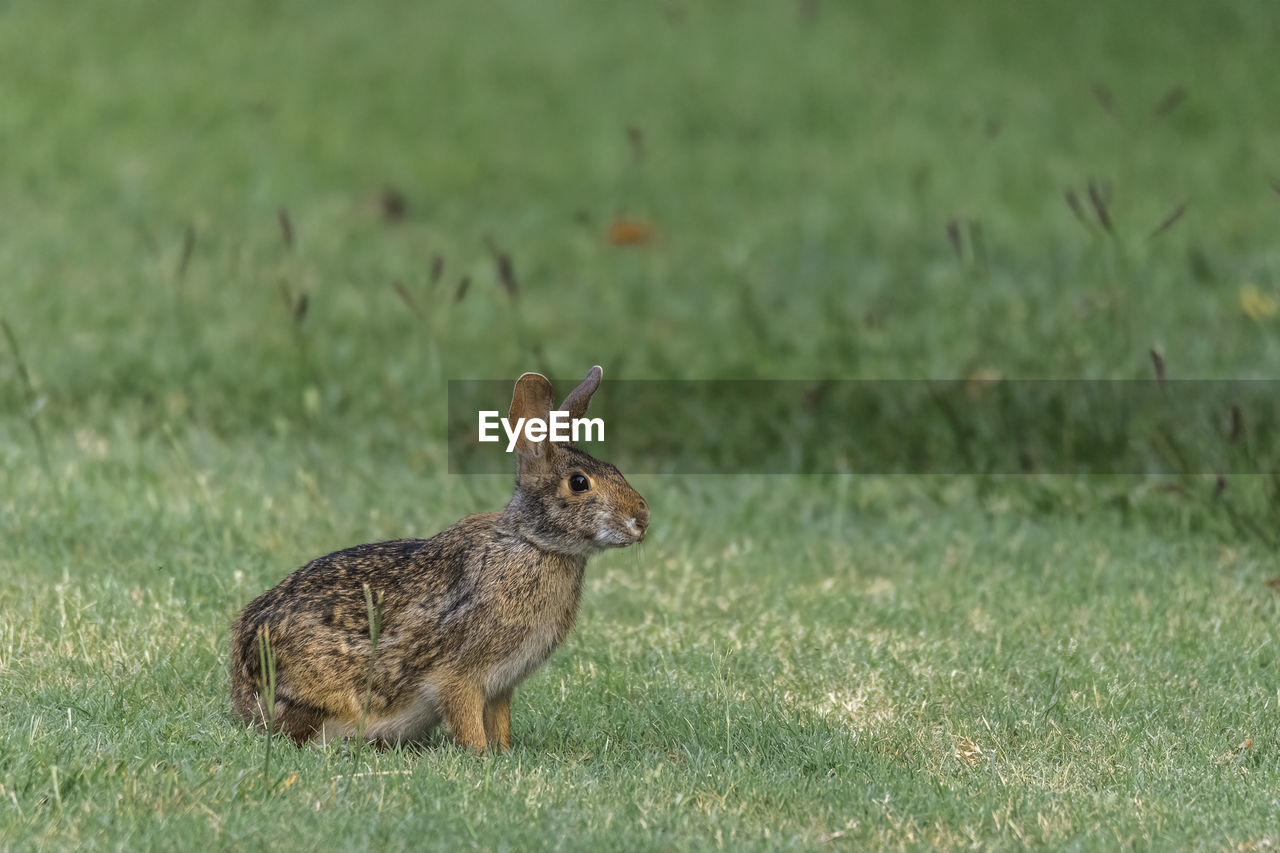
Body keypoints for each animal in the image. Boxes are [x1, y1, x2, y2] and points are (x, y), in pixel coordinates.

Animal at [227, 366, 650, 753]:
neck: (534, 543)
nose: (642, 519)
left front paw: (504, 751)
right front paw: (482, 756)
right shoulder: (459, 675)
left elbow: (499, 720)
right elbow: (465, 717)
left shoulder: (501, 685)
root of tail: (245, 694)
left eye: (615, 470)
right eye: (579, 483)